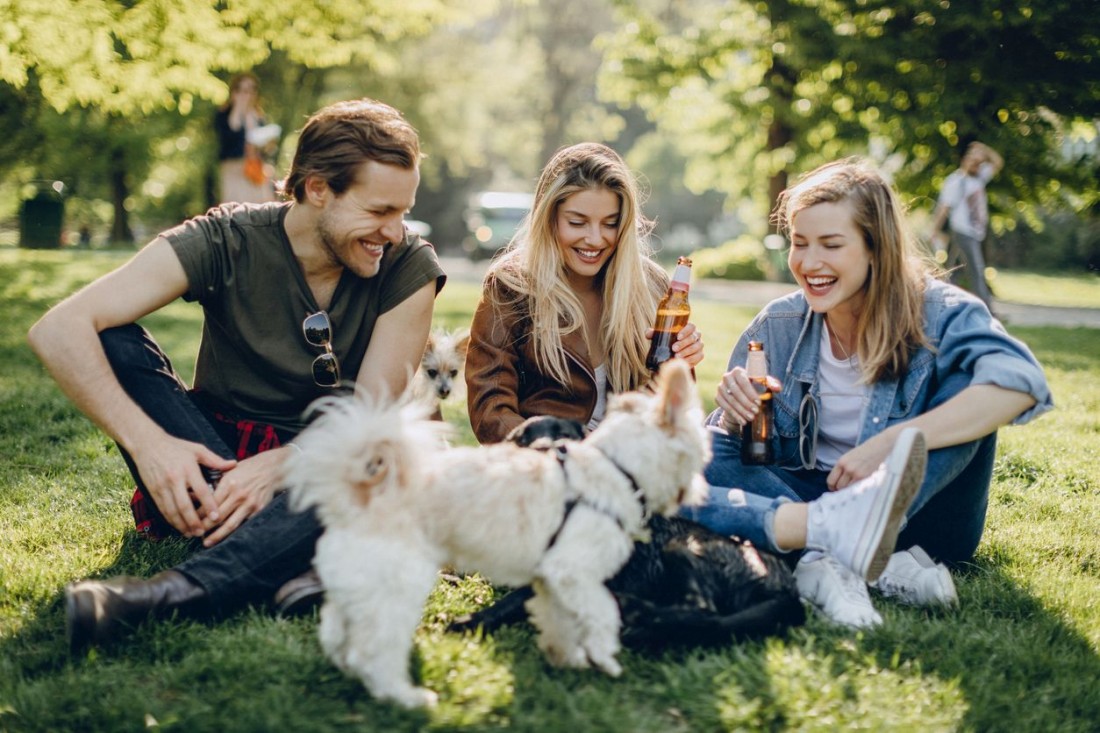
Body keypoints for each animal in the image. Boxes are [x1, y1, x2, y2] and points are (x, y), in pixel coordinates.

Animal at [283, 358, 708, 708]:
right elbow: (601, 612)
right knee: (374, 651)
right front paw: (604, 656)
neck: (612, 467)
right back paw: (406, 697)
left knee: (339, 633)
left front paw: (565, 656)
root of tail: (358, 496)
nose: (702, 490)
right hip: (397, 589)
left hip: (359, 587)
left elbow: (559, 619)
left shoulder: (552, 581)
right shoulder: (574, 573)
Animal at [451, 413, 805, 647]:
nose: (553, 450)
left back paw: (637, 619)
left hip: (679, 547)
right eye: (524, 439)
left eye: (569, 435)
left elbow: (510, 602)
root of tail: (789, 589)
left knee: (704, 612)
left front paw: (470, 621)